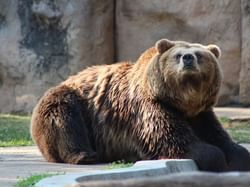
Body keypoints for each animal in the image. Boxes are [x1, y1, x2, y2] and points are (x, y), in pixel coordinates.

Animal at [30, 38, 250, 172]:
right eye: (178, 55)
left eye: (200, 54)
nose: (188, 58)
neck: (183, 101)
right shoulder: (148, 108)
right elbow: (174, 140)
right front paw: (215, 158)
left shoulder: (200, 114)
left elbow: (219, 136)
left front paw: (239, 156)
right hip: (72, 102)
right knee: (63, 117)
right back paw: (84, 155)